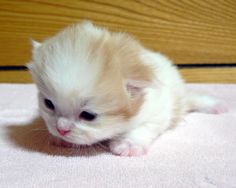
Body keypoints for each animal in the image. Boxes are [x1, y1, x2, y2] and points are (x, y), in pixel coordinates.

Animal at [27, 20, 225, 156]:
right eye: (48, 104)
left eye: (88, 115)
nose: (61, 129)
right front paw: (59, 139)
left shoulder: (157, 110)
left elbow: (144, 128)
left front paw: (128, 145)